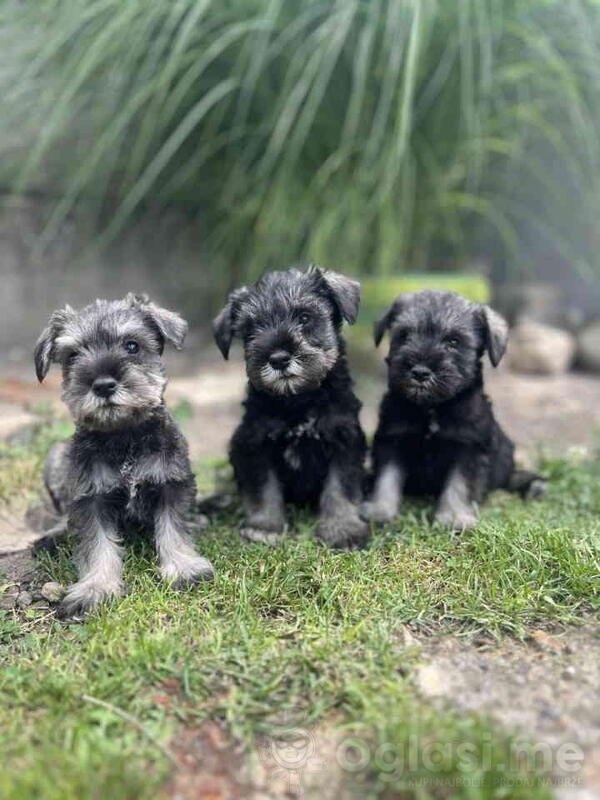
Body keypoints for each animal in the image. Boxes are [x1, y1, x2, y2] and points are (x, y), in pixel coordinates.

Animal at [34, 296, 214, 616]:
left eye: (132, 345)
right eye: (72, 355)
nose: (103, 385)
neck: (123, 437)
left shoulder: (172, 484)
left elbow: (173, 528)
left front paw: (183, 567)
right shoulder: (90, 499)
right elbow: (97, 545)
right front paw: (96, 588)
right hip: (55, 457)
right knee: (63, 513)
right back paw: (54, 534)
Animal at [213, 266, 368, 548]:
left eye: (305, 317)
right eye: (251, 328)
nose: (278, 359)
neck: (299, 399)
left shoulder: (344, 439)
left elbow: (341, 487)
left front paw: (343, 529)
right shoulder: (255, 444)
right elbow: (264, 488)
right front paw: (265, 527)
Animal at [364, 290, 548, 532]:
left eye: (453, 341)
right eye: (404, 335)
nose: (420, 372)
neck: (432, 408)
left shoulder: (468, 448)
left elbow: (459, 484)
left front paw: (453, 516)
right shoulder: (392, 440)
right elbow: (386, 478)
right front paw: (379, 511)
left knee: (509, 478)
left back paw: (533, 486)